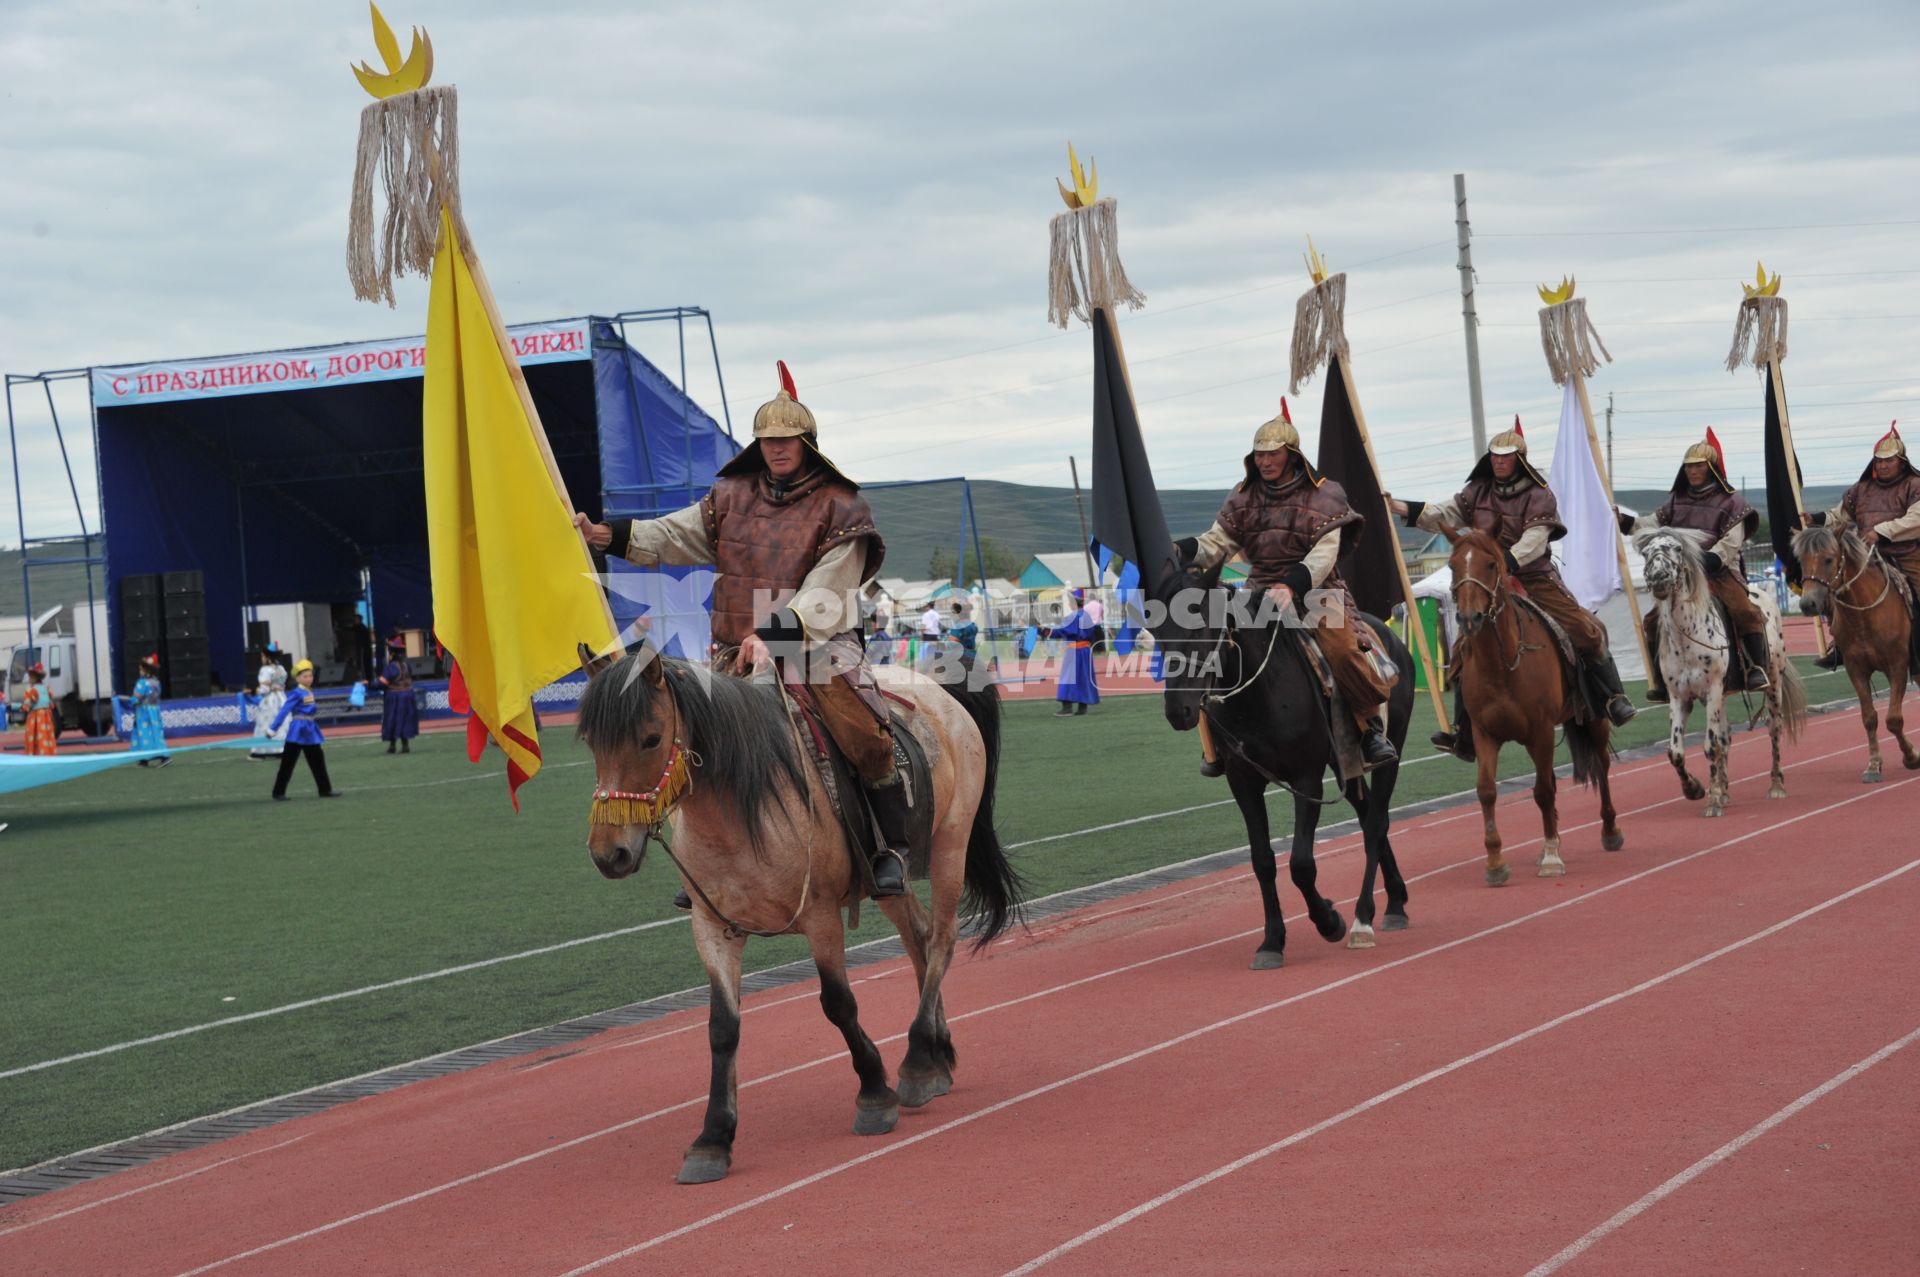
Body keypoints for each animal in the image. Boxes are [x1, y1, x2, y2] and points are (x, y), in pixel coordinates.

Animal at [572, 649, 1021, 1182]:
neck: (741, 809)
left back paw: (915, 1061)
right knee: (921, 935)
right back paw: (936, 1056)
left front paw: (874, 1092)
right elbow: (722, 1028)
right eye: (592, 743)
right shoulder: (711, 927)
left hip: (951, 844)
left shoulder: (820, 915)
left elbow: (838, 1004)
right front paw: (713, 1137)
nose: (609, 854)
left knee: (943, 939)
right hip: (889, 883)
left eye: (651, 738)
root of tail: (936, 687)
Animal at [1443, 522, 1620, 883]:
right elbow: (1487, 790)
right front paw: (1495, 862)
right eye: (1453, 566)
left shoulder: (1541, 730)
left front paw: (1552, 857)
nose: (1469, 618)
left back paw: (1609, 830)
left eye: (1491, 564)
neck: (1502, 665)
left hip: (1593, 720)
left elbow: (1543, 791)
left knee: (1602, 765)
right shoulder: (1485, 734)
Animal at [1643, 530, 1804, 810]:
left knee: (1773, 728)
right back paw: (1726, 787)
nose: (1658, 578)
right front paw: (1695, 789)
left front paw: (1714, 798)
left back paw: (1775, 786)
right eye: (1645, 553)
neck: (1687, 637)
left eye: (1677, 548)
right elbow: (1676, 752)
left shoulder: (1712, 691)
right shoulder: (1679, 697)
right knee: (1726, 736)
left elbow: (1711, 746)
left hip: (1773, 684)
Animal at [1789, 522, 1912, 783]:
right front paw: (1874, 766)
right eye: (1801, 561)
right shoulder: (1856, 669)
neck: (1865, 615)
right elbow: (1869, 718)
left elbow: (1894, 719)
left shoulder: (1898, 666)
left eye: (1828, 559)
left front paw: (1911, 756)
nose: (1808, 604)